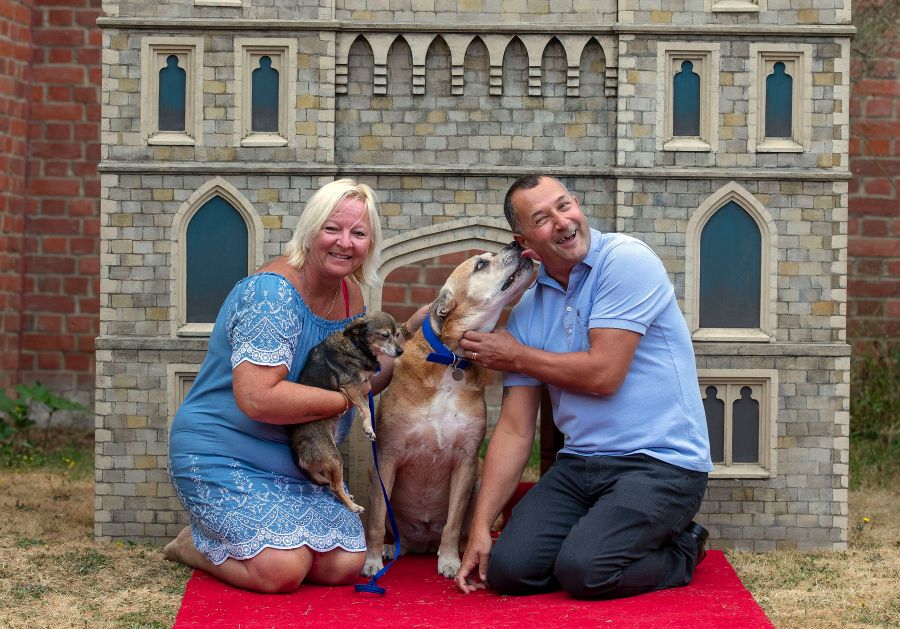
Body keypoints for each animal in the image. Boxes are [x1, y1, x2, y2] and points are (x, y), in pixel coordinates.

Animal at [362, 240, 536, 580]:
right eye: (481, 264)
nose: (515, 242)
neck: (451, 360)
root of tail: (422, 541)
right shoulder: (387, 457)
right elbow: (376, 518)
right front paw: (372, 560)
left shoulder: (467, 460)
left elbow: (454, 523)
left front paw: (450, 560)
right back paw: (391, 549)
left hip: (480, 474)